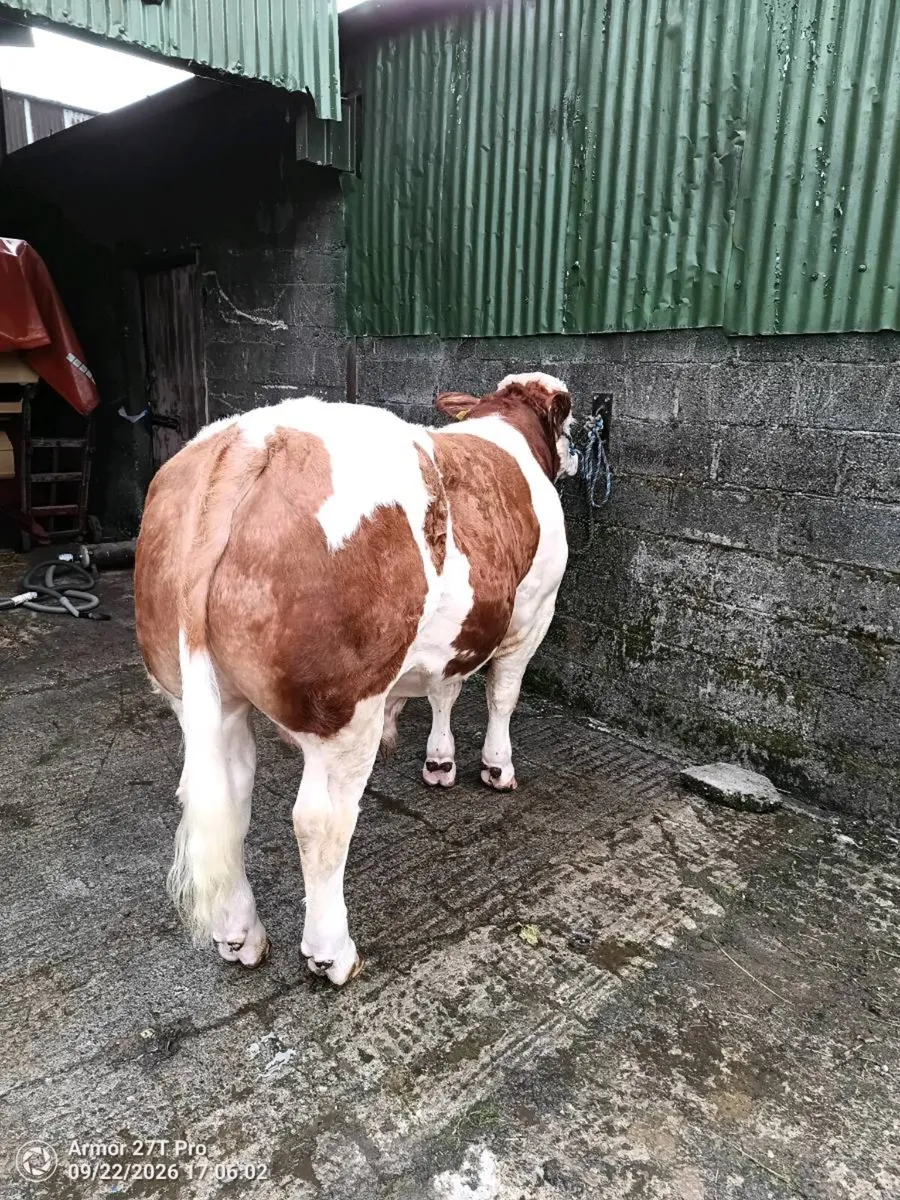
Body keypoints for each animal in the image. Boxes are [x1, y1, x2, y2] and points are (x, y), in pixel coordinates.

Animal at [134, 371, 577, 985]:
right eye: (573, 424)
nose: (578, 458)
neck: (506, 430)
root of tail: (251, 438)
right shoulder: (533, 613)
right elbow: (501, 695)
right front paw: (496, 767)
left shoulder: (456, 632)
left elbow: (445, 688)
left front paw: (440, 761)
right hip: (345, 708)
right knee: (320, 822)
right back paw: (331, 953)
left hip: (205, 696)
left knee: (227, 797)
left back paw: (240, 936)